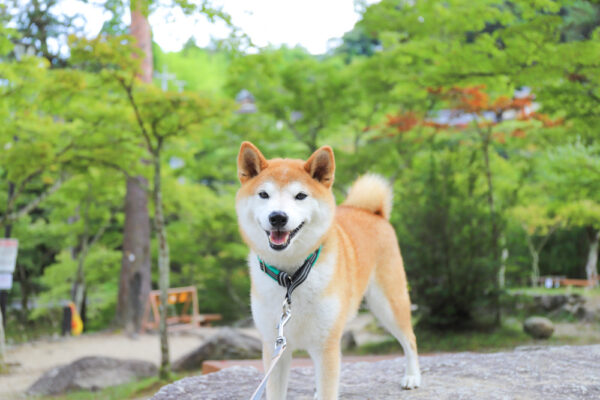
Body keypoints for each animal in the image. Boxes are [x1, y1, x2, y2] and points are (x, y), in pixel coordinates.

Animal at [236, 143, 422, 400]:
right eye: (264, 194)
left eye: (300, 196)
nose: (278, 217)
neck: (291, 278)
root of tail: (371, 212)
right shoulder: (275, 345)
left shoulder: (327, 345)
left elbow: (328, 388)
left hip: (389, 304)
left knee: (410, 339)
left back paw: (412, 376)